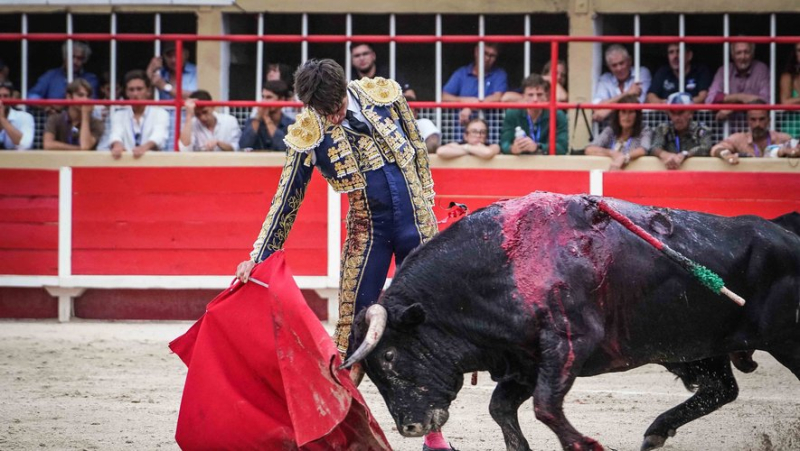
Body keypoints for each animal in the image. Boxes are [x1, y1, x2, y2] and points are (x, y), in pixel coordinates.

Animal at [344, 193, 800, 451]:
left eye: (388, 357)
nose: (409, 427)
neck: (502, 264)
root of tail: (785, 233)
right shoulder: (525, 360)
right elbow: (501, 408)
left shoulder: (569, 342)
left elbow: (545, 406)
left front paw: (589, 446)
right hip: (693, 349)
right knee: (722, 389)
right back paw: (655, 432)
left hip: (782, 341)